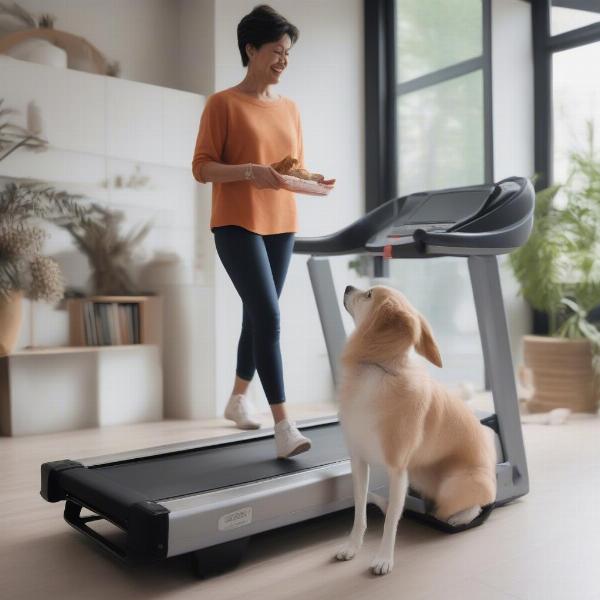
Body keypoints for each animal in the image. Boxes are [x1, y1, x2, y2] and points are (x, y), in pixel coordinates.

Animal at [336, 286, 494, 576]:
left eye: (369, 295)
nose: (348, 287)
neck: (377, 371)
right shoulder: (359, 461)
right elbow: (359, 511)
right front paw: (352, 547)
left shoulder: (398, 471)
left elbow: (391, 522)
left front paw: (384, 559)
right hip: (419, 476)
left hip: (454, 485)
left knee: (472, 507)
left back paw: (455, 517)